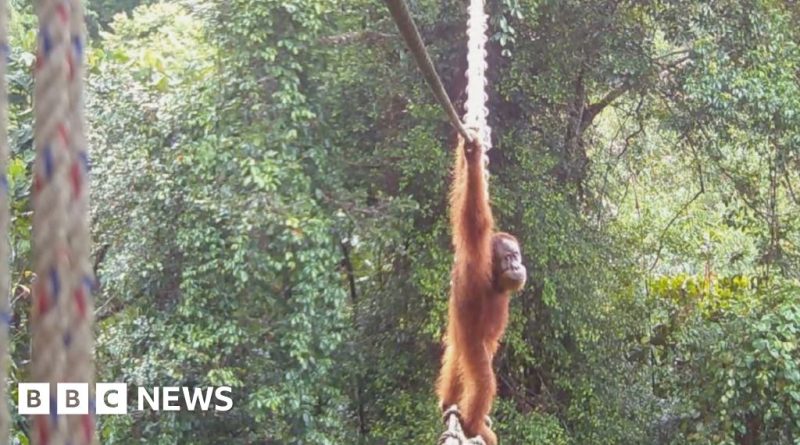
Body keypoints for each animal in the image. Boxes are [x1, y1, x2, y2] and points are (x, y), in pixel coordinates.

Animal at [435, 134, 526, 445]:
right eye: (508, 258)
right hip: (471, 346)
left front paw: (468, 157)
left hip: (459, 342)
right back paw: (473, 425)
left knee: (454, 361)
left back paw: (449, 404)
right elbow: (474, 216)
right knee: (484, 380)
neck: (494, 279)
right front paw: (473, 158)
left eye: (517, 256)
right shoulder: (476, 257)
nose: (517, 265)